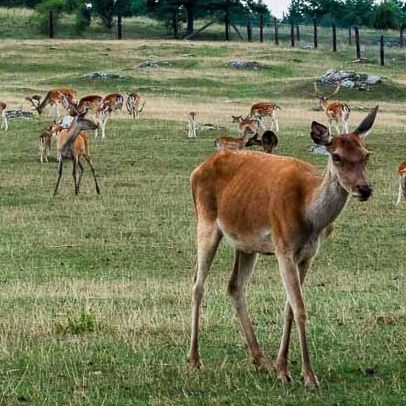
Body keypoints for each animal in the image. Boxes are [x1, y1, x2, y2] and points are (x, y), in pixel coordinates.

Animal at [189, 106, 380, 388]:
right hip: (206, 222)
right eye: (336, 156)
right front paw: (309, 375)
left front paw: (282, 368)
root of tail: (197, 170)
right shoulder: (283, 248)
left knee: (235, 286)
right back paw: (194, 359)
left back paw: (260, 359)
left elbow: (290, 308)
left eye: (366, 154)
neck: (310, 218)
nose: (364, 189)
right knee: (198, 285)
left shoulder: (308, 255)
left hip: (246, 244)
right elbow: (300, 309)